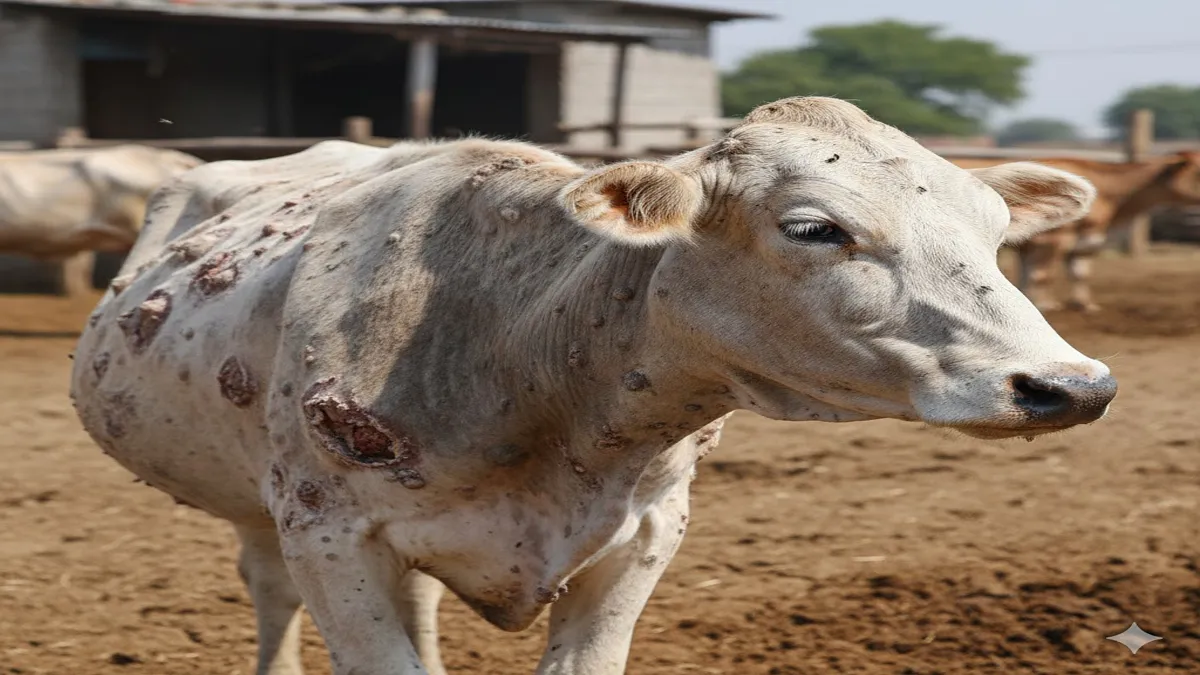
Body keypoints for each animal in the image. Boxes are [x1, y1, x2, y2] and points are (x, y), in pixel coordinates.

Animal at [69, 97, 1117, 675]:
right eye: (815, 228)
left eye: (995, 227)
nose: (1072, 384)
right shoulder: (329, 534)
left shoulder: (643, 540)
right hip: (260, 506)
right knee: (270, 593)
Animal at [950, 152, 1200, 312]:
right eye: (1198, 171)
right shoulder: (1051, 240)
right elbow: (1042, 276)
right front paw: (1045, 304)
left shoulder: (1079, 244)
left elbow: (1078, 273)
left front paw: (1084, 304)